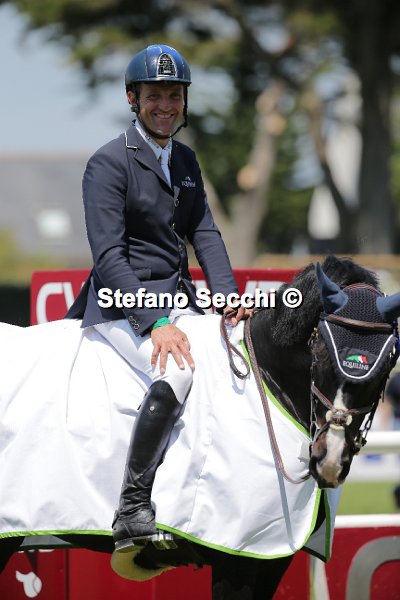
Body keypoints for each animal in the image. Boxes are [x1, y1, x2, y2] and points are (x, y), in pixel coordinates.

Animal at [1, 255, 399, 599]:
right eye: (319, 351)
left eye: (388, 361)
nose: (330, 459)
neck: (265, 381)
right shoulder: (236, 555)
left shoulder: (271, 557)